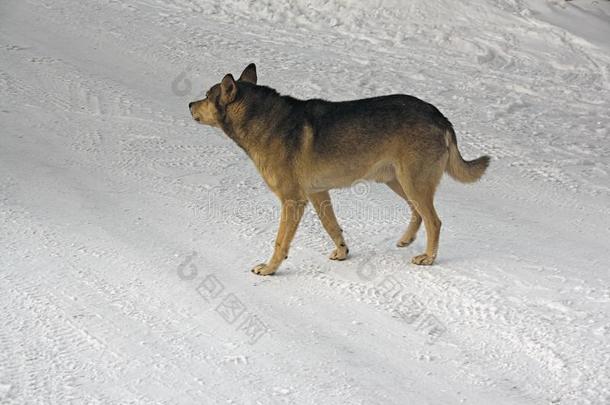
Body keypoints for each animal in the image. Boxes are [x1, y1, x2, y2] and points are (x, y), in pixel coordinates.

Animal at [188, 64, 486, 274]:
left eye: (205, 96)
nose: (189, 104)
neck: (264, 122)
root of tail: (440, 117)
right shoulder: (318, 194)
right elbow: (333, 228)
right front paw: (343, 252)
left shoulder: (292, 200)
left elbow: (280, 242)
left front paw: (270, 268)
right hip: (398, 181)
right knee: (418, 214)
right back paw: (406, 240)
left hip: (411, 182)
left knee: (434, 221)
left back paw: (428, 258)